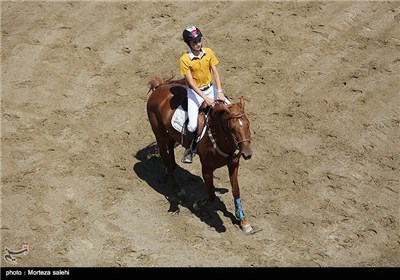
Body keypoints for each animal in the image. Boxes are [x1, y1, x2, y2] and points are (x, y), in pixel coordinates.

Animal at [147, 76, 253, 232]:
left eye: (248, 124)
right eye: (233, 129)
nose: (247, 153)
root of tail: (160, 87)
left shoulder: (233, 164)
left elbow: (236, 190)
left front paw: (243, 220)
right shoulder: (207, 168)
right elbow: (211, 195)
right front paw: (198, 204)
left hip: (170, 133)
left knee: (170, 145)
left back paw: (171, 166)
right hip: (158, 132)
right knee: (164, 155)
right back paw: (178, 189)